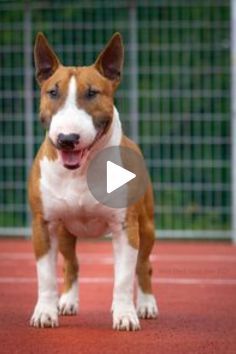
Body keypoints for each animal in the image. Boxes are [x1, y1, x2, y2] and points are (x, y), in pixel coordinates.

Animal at [29, 31, 159, 330]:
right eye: (52, 92)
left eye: (92, 93)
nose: (67, 139)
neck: (80, 171)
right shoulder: (44, 224)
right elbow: (45, 276)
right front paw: (45, 312)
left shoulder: (125, 228)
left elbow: (123, 279)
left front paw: (125, 315)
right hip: (66, 231)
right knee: (71, 264)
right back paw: (67, 302)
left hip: (146, 227)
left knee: (143, 266)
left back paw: (146, 305)